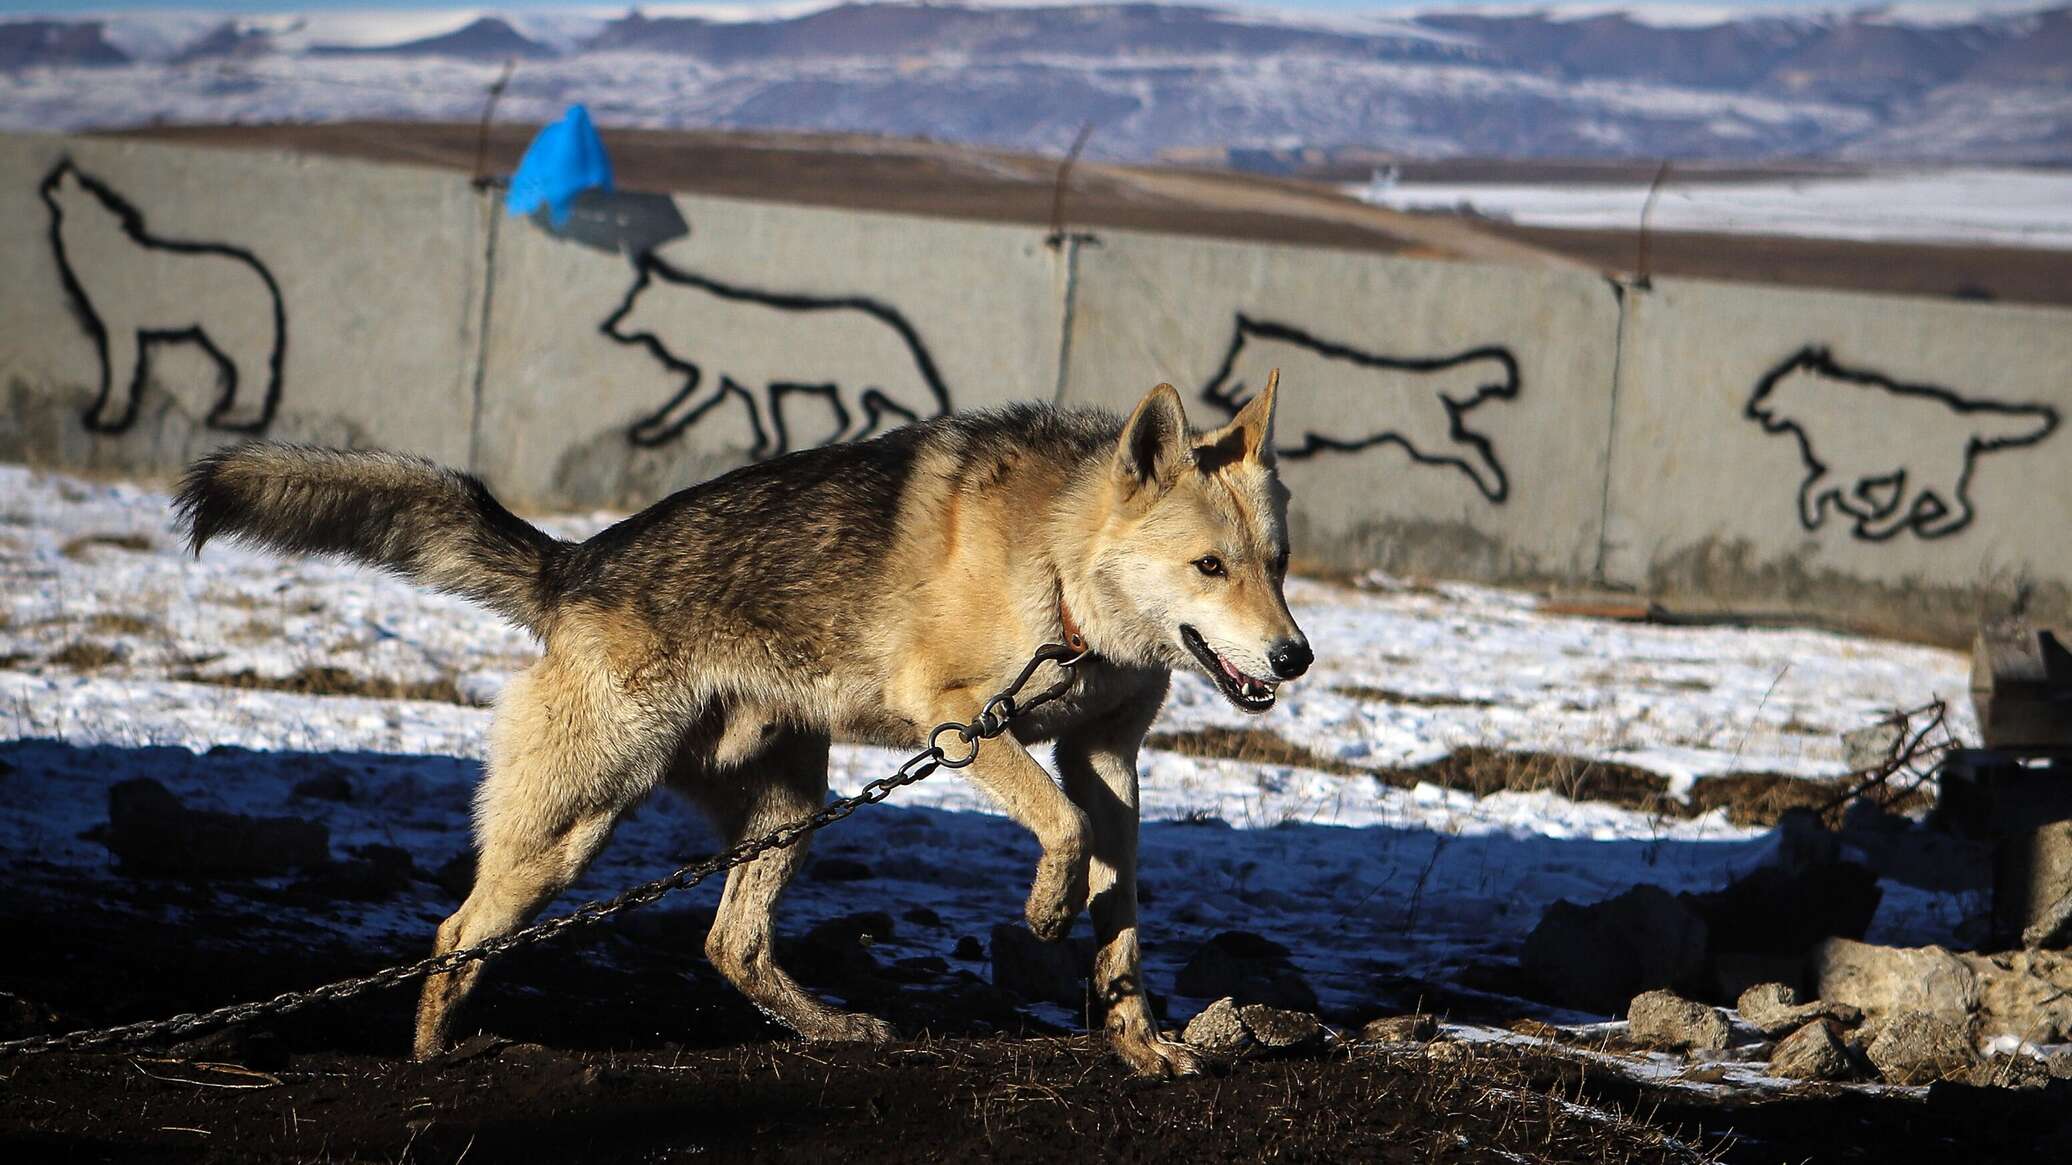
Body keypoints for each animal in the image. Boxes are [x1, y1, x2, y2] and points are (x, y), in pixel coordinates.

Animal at [40, 159, 288, 435]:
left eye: (85, 186)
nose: (65, 168)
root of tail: (263, 279)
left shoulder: (120, 329)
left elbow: (119, 376)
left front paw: (108, 417)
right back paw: (235, 415)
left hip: (229, 335)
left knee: (256, 372)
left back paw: (239, 417)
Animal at [178, 373, 1309, 1069]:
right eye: (1210, 566)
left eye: (1278, 565)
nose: (1294, 657)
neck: (1064, 574)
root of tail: (571, 566)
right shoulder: (959, 724)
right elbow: (1062, 837)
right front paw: (1043, 912)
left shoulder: (1103, 757)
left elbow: (1123, 923)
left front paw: (1138, 1044)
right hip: (572, 826)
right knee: (457, 933)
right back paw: (432, 1062)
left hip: (789, 805)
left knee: (730, 945)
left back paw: (837, 1032)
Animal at [605, 253, 948, 453]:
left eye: (631, 305)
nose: (611, 326)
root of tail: (893, 328)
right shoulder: (745, 385)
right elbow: (764, 418)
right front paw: (764, 446)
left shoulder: (717, 382)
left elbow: (679, 410)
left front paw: (650, 432)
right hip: (844, 391)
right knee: (866, 416)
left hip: (851, 389)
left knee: (869, 416)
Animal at [1748, 344, 2055, 538]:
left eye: (1774, 386)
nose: (1753, 405)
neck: (1826, 409)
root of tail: (1960, 416)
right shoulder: (1849, 474)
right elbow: (1842, 493)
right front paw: (1866, 506)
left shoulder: (1844, 470)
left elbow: (1814, 488)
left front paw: (1816, 516)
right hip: (1933, 478)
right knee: (1952, 507)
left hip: (1924, 474)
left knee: (1932, 507)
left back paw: (1891, 527)